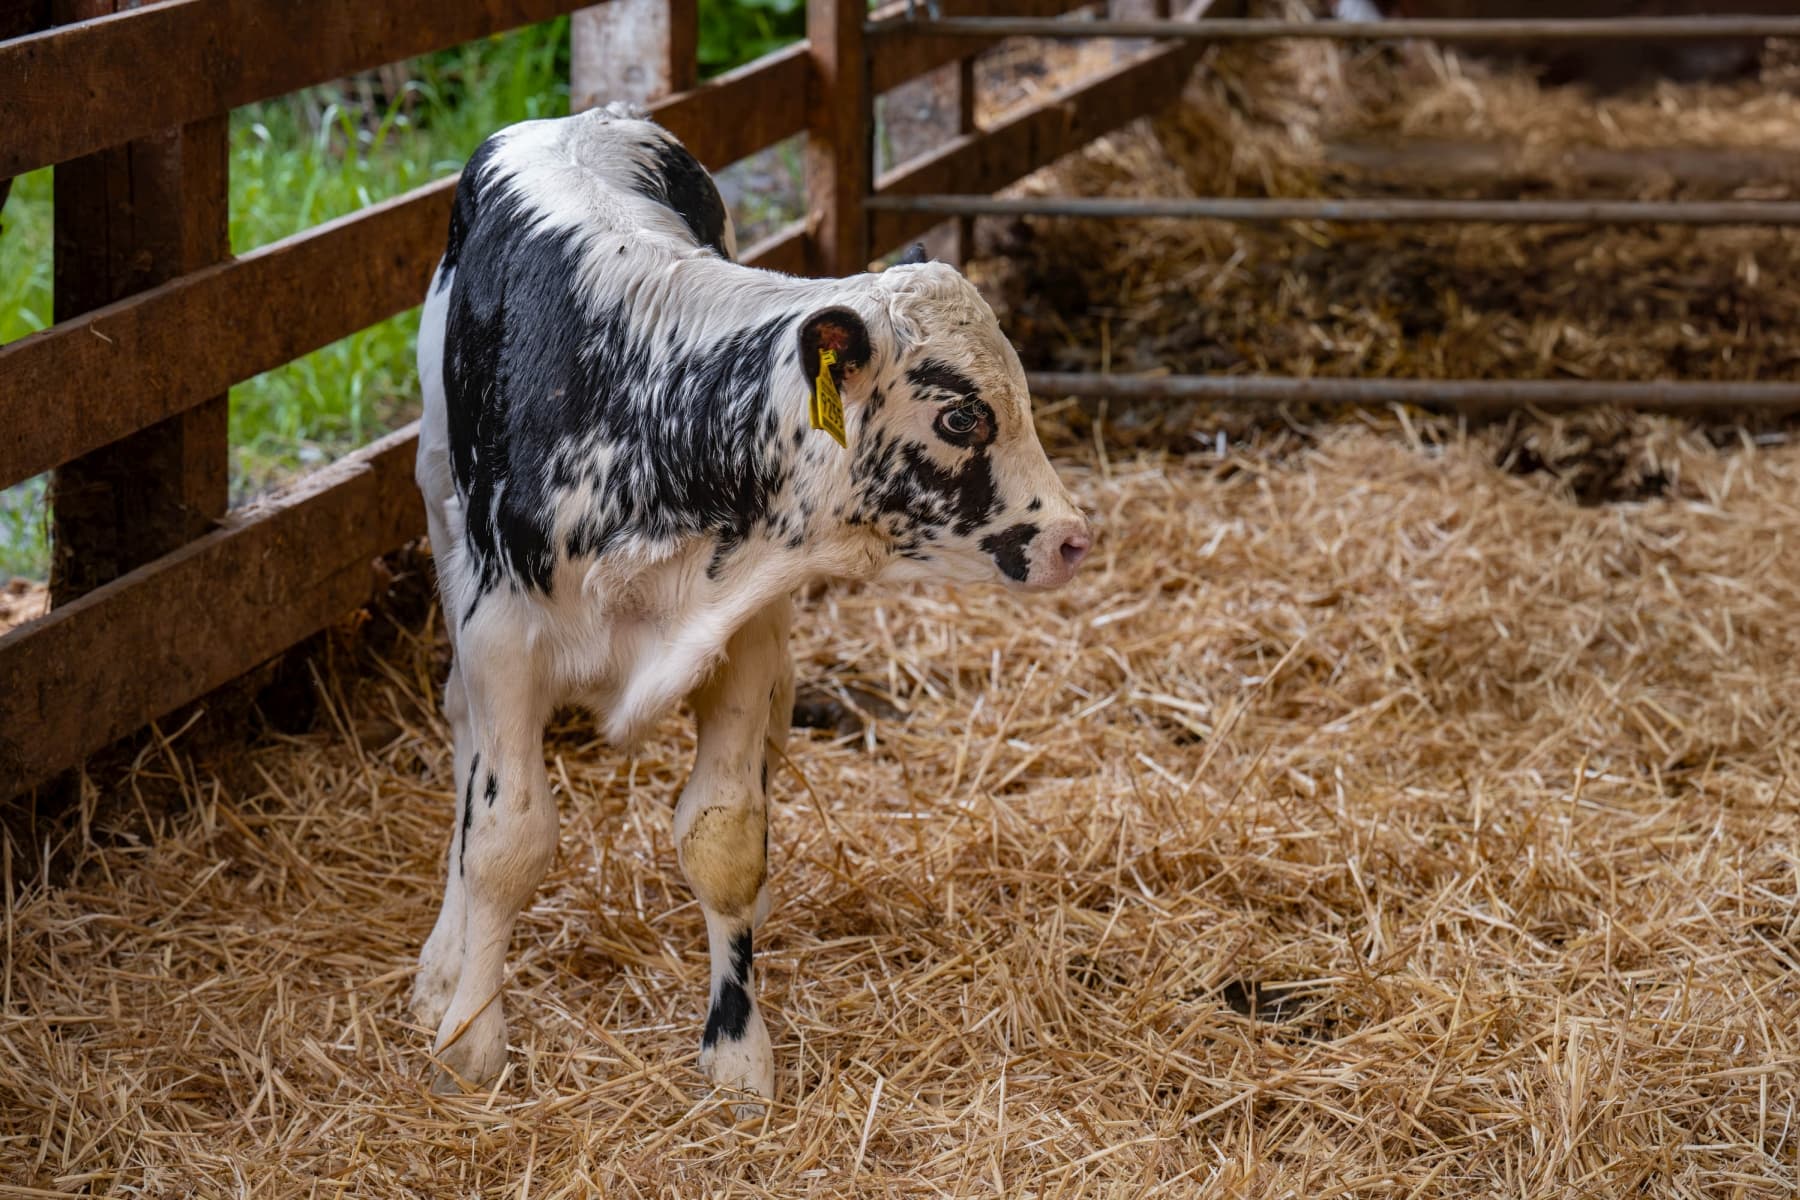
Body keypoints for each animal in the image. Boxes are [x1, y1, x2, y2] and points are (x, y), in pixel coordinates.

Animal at [414, 107, 1087, 1101]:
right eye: (961, 417)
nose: (1073, 536)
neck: (655, 417)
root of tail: (583, 117)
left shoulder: (743, 635)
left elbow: (726, 839)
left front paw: (736, 1051)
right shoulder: (501, 638)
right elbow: (504, 838)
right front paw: (470, 1037)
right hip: (438, 497)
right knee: (462, 739)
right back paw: (441, 963)